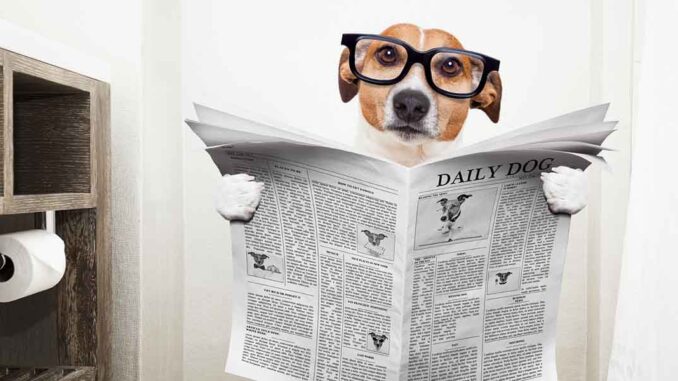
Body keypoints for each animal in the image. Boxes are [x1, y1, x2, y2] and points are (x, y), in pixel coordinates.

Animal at [215, 23, 588, 220]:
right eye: (388, 53)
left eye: (450, 65)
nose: (411, 103)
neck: (409, 161)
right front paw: (235, 194)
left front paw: (567, 187)